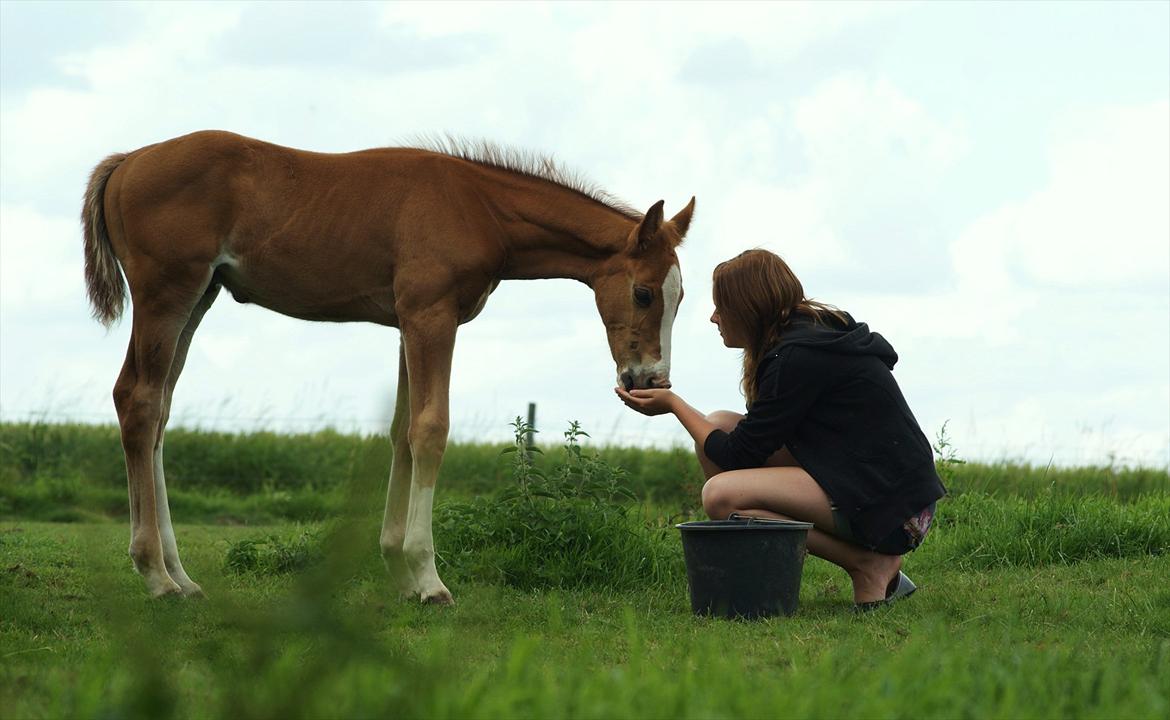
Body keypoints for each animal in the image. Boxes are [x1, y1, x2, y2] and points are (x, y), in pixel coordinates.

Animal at [82, 129, 692, 604]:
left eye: (682, 297)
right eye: (642, 293)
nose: (650, 380)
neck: (479, 207)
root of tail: (127, 161)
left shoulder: (407, 323)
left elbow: (401, 432)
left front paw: (400, 573)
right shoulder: (431, 317)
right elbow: (431, 429)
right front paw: (429, 577)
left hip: (199, 297)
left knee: (160, 413)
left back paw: (182, 577)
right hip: (167, 293)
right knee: (138, 402)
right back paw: (156, 576)